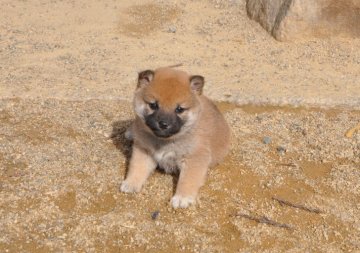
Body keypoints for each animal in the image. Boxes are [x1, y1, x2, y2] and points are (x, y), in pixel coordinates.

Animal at [119, 66, 229, 208]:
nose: (164, 124)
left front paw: (182, 197)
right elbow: (137, 167)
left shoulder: (194, 158)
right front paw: (131, 183)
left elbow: (188, 179)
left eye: (179, 109)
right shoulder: (143, 151)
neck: (165, 141)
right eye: (153, 105)